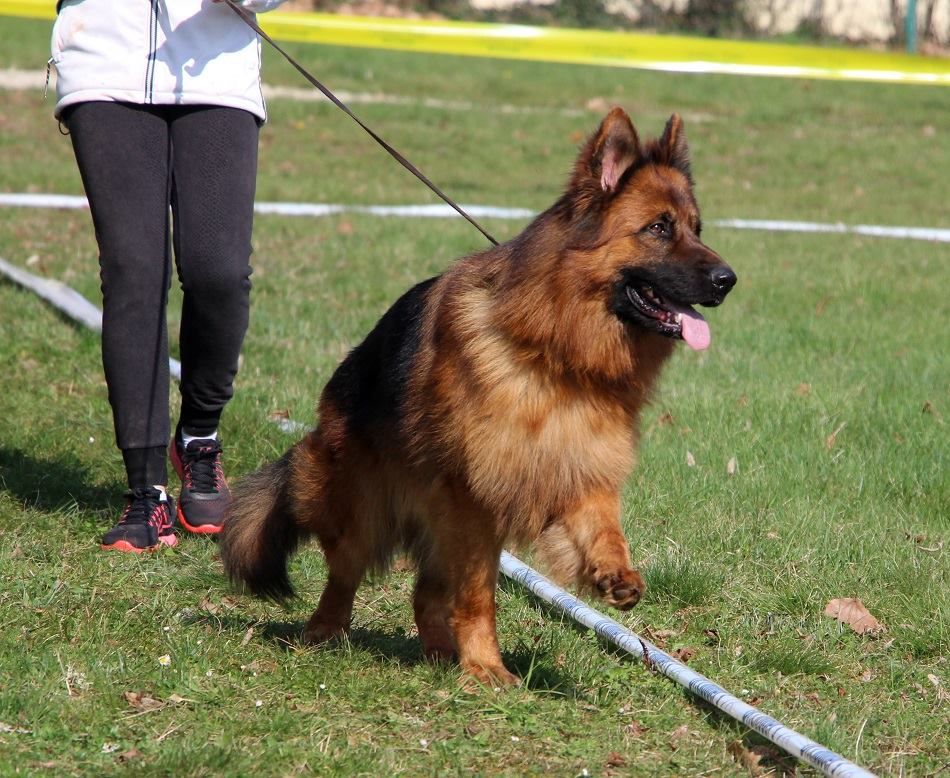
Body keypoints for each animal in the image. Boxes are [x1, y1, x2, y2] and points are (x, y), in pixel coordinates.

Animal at [221, 106, 736, 684]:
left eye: (696, 229)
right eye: (658, 228)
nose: (729, 279)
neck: (555, 353)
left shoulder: (577, 465)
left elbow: (604, 524)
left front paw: (613, 570)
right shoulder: (474, 504)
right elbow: (478, 596)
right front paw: (487, 666)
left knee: (424, 595)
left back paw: (440, 654)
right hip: (363, 508)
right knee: (346, 575)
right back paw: (325, 633)